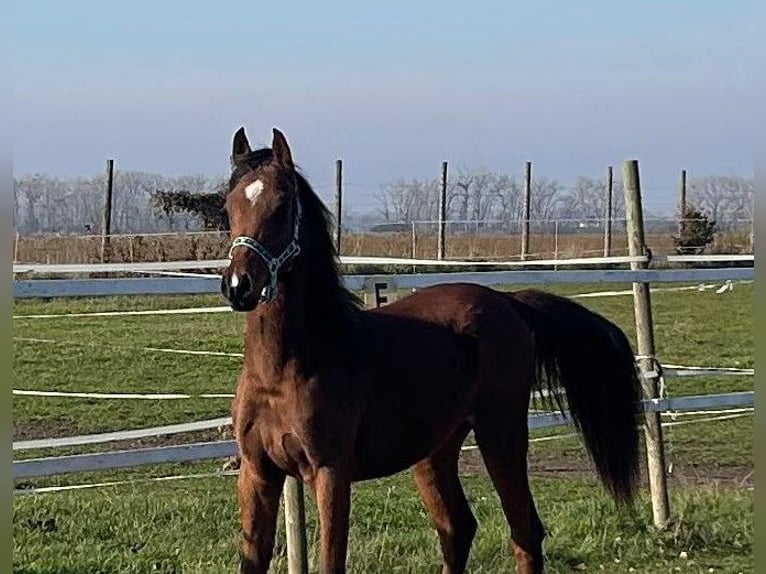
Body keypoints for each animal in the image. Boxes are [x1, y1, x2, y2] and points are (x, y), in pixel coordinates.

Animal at [220, 127, 640, 574]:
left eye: (282, 206)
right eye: (228, 205)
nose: (239, 286)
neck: (287, 369)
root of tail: (509, 302)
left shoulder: (330, 473)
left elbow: (331, 562)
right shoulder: (258, 474)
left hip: (502, 435)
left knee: (525, 534)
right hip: (436, 450)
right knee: (458, 528)